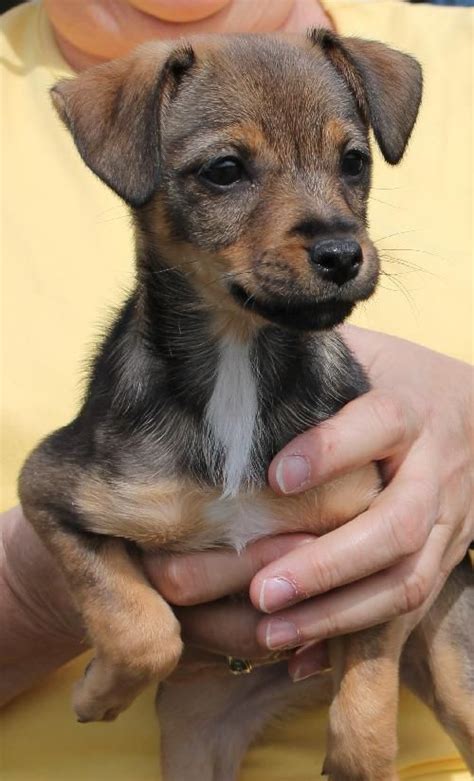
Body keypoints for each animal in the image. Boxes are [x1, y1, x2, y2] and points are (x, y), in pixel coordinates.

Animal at [16, 29, 472, 780]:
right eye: (225, 171)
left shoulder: (386, 550)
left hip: (457, 662)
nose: (342, 253)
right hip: (195, 735)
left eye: (354, 162)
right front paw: (97, 691)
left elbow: (368, 684)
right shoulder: (49, 488)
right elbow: (141, 626)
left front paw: (358, 752)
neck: (240, 360)